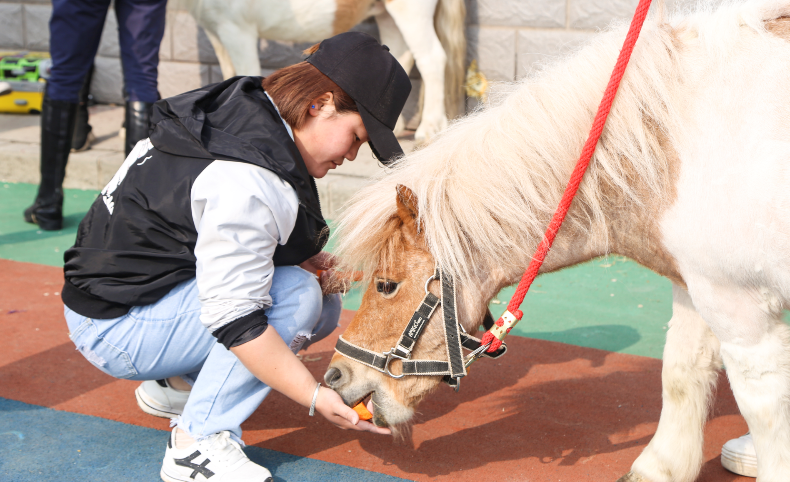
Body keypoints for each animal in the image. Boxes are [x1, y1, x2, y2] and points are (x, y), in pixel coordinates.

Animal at [181, 0, 464, 143]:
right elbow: (228, 70)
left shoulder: (238, 31)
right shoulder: (216, 31)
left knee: (431, 58)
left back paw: (428, 129)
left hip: (410, 12)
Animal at [326, 1, 790, 480]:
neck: (668, 145)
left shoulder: (737, 303)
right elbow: (681, 371)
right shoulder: (694, 283)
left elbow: (763, 405)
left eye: (386, 285)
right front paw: (660, 466)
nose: (335, 376)